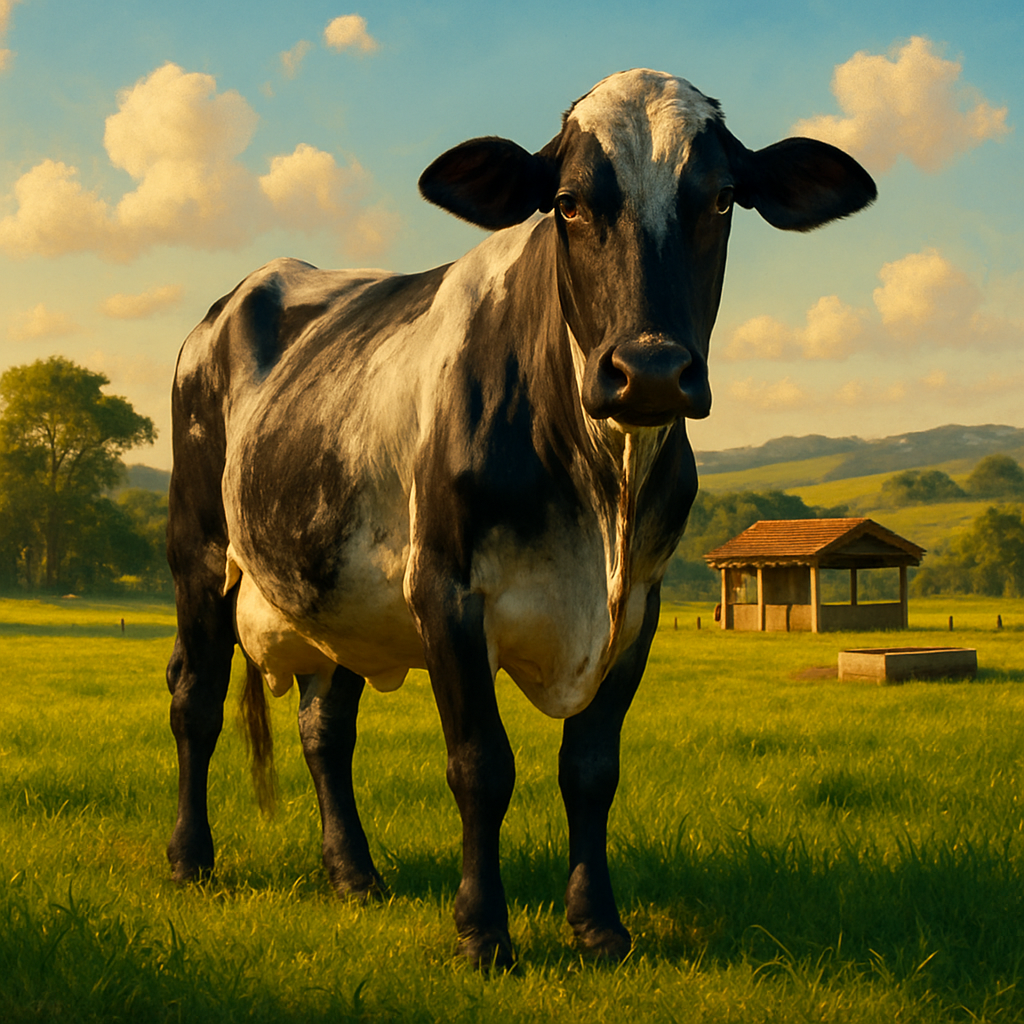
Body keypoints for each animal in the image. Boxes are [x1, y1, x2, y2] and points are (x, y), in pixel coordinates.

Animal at [165, 68, 875, 968]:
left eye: (720, 200)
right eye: (567, 203)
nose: (650, 370)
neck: (599, 498)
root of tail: (241, 293)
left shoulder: (636, 610)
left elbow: (591, 769)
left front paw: (598, 923)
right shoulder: (446, 590)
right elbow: (481, 766)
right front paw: (482, 931)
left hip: (339, 596)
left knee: (324, 727)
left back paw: (354, 875)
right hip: (198, 551)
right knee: (195, 698)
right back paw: (191, 859)